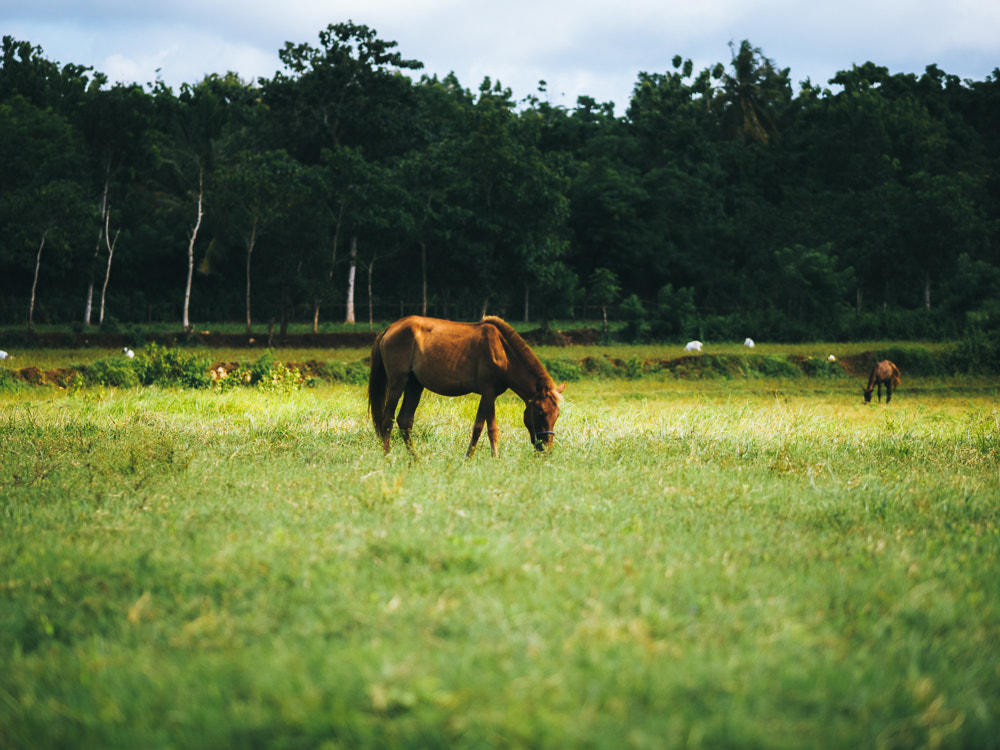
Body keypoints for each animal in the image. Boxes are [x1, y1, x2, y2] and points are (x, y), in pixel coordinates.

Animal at [370, 314, 572, 456]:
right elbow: (492, 429)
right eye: (540, 412)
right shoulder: (489, 392)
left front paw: (468, 459)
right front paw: (495, 458)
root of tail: (389, 329)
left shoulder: (487, 395)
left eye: (557, 414)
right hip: (397, 383)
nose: (546, 448)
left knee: (405, 421)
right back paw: (387, 458)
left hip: (414, 385)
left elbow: (477, 429)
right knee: (387, 420)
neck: (503, 351)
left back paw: (415, 461)